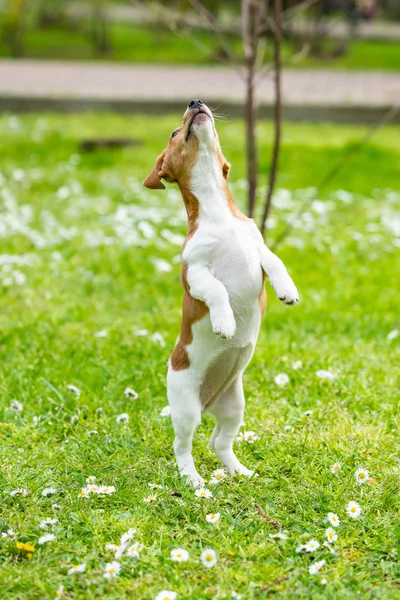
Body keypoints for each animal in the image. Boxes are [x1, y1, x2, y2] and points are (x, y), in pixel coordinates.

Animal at [144, 98, 300, 488]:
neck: (219, 215)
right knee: (182, 445)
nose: (195, 101)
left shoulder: (258, 249)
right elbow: (216, 289)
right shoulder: (196, 272)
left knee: (219, 441)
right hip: (186, 407)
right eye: (174, 132)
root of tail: (208, 401)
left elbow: (276, 263)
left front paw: (287, 290)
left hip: (234, 406)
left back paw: (241, 471)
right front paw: (225, 322)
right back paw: (194, 480)